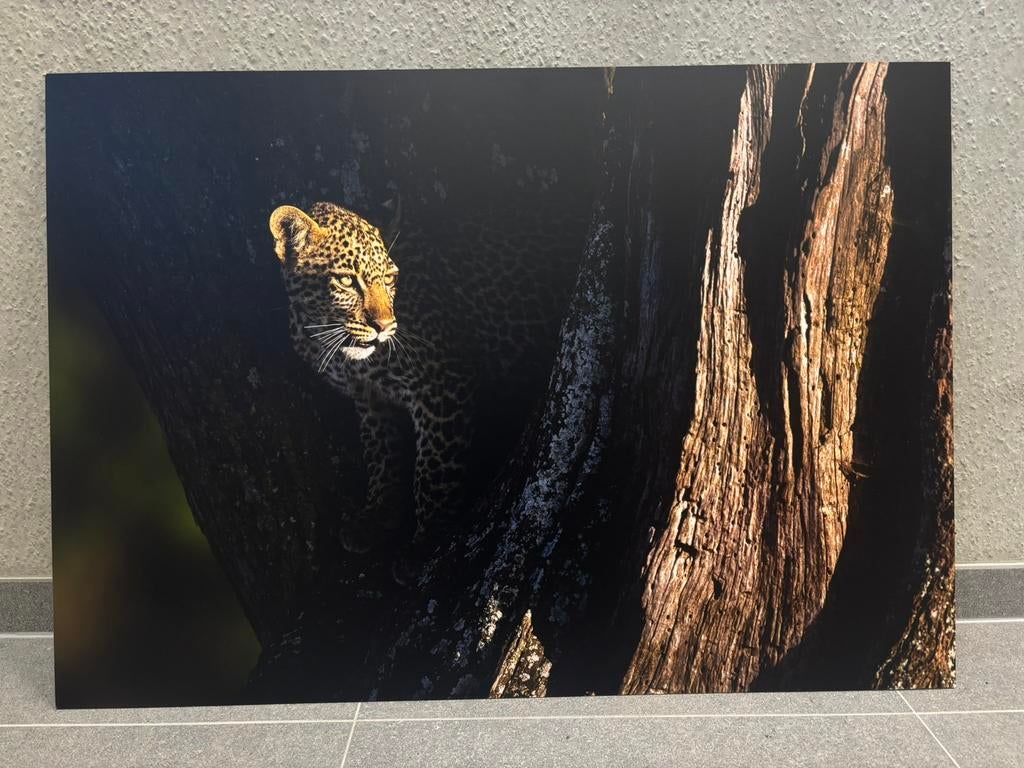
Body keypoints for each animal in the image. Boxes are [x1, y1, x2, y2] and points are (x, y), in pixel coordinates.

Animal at [270, 201, 579, 579]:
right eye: (345, 280)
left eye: (390, 279)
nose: (385, 327)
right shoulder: (370, 400)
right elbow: (381, 451)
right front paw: (379, 514)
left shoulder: (443, 383)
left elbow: (433, 469)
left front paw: (425, 543)